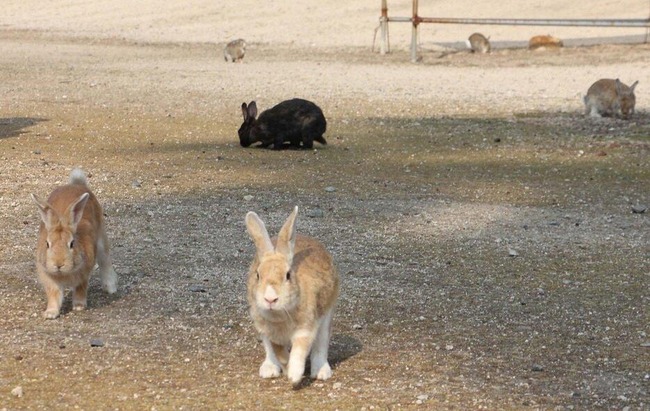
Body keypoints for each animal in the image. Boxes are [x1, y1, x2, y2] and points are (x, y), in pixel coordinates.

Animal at [31, 169, 116, 320]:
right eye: (47, 244)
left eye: (72, 243)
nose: (59, 264)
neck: (64, 274)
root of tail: (77, 184)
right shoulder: (49, 278)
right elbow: (54, 295)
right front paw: (50, 313)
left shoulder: (84, 273)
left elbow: (80, 288)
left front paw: (79, 306)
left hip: (101, 237)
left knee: (105, 259)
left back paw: (111, 287)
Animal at [243, 208, 340, 388]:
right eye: (257, 275)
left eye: (288, 275)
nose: (270, 299)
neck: (281, 313)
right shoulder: (270, 333)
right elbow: (280, 353)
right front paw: (287, 370)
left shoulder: (305, 328)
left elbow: (299, 351)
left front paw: (294, 376)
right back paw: (269, 370)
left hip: (326, 314)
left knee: (321, 343)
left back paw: (321, 372)